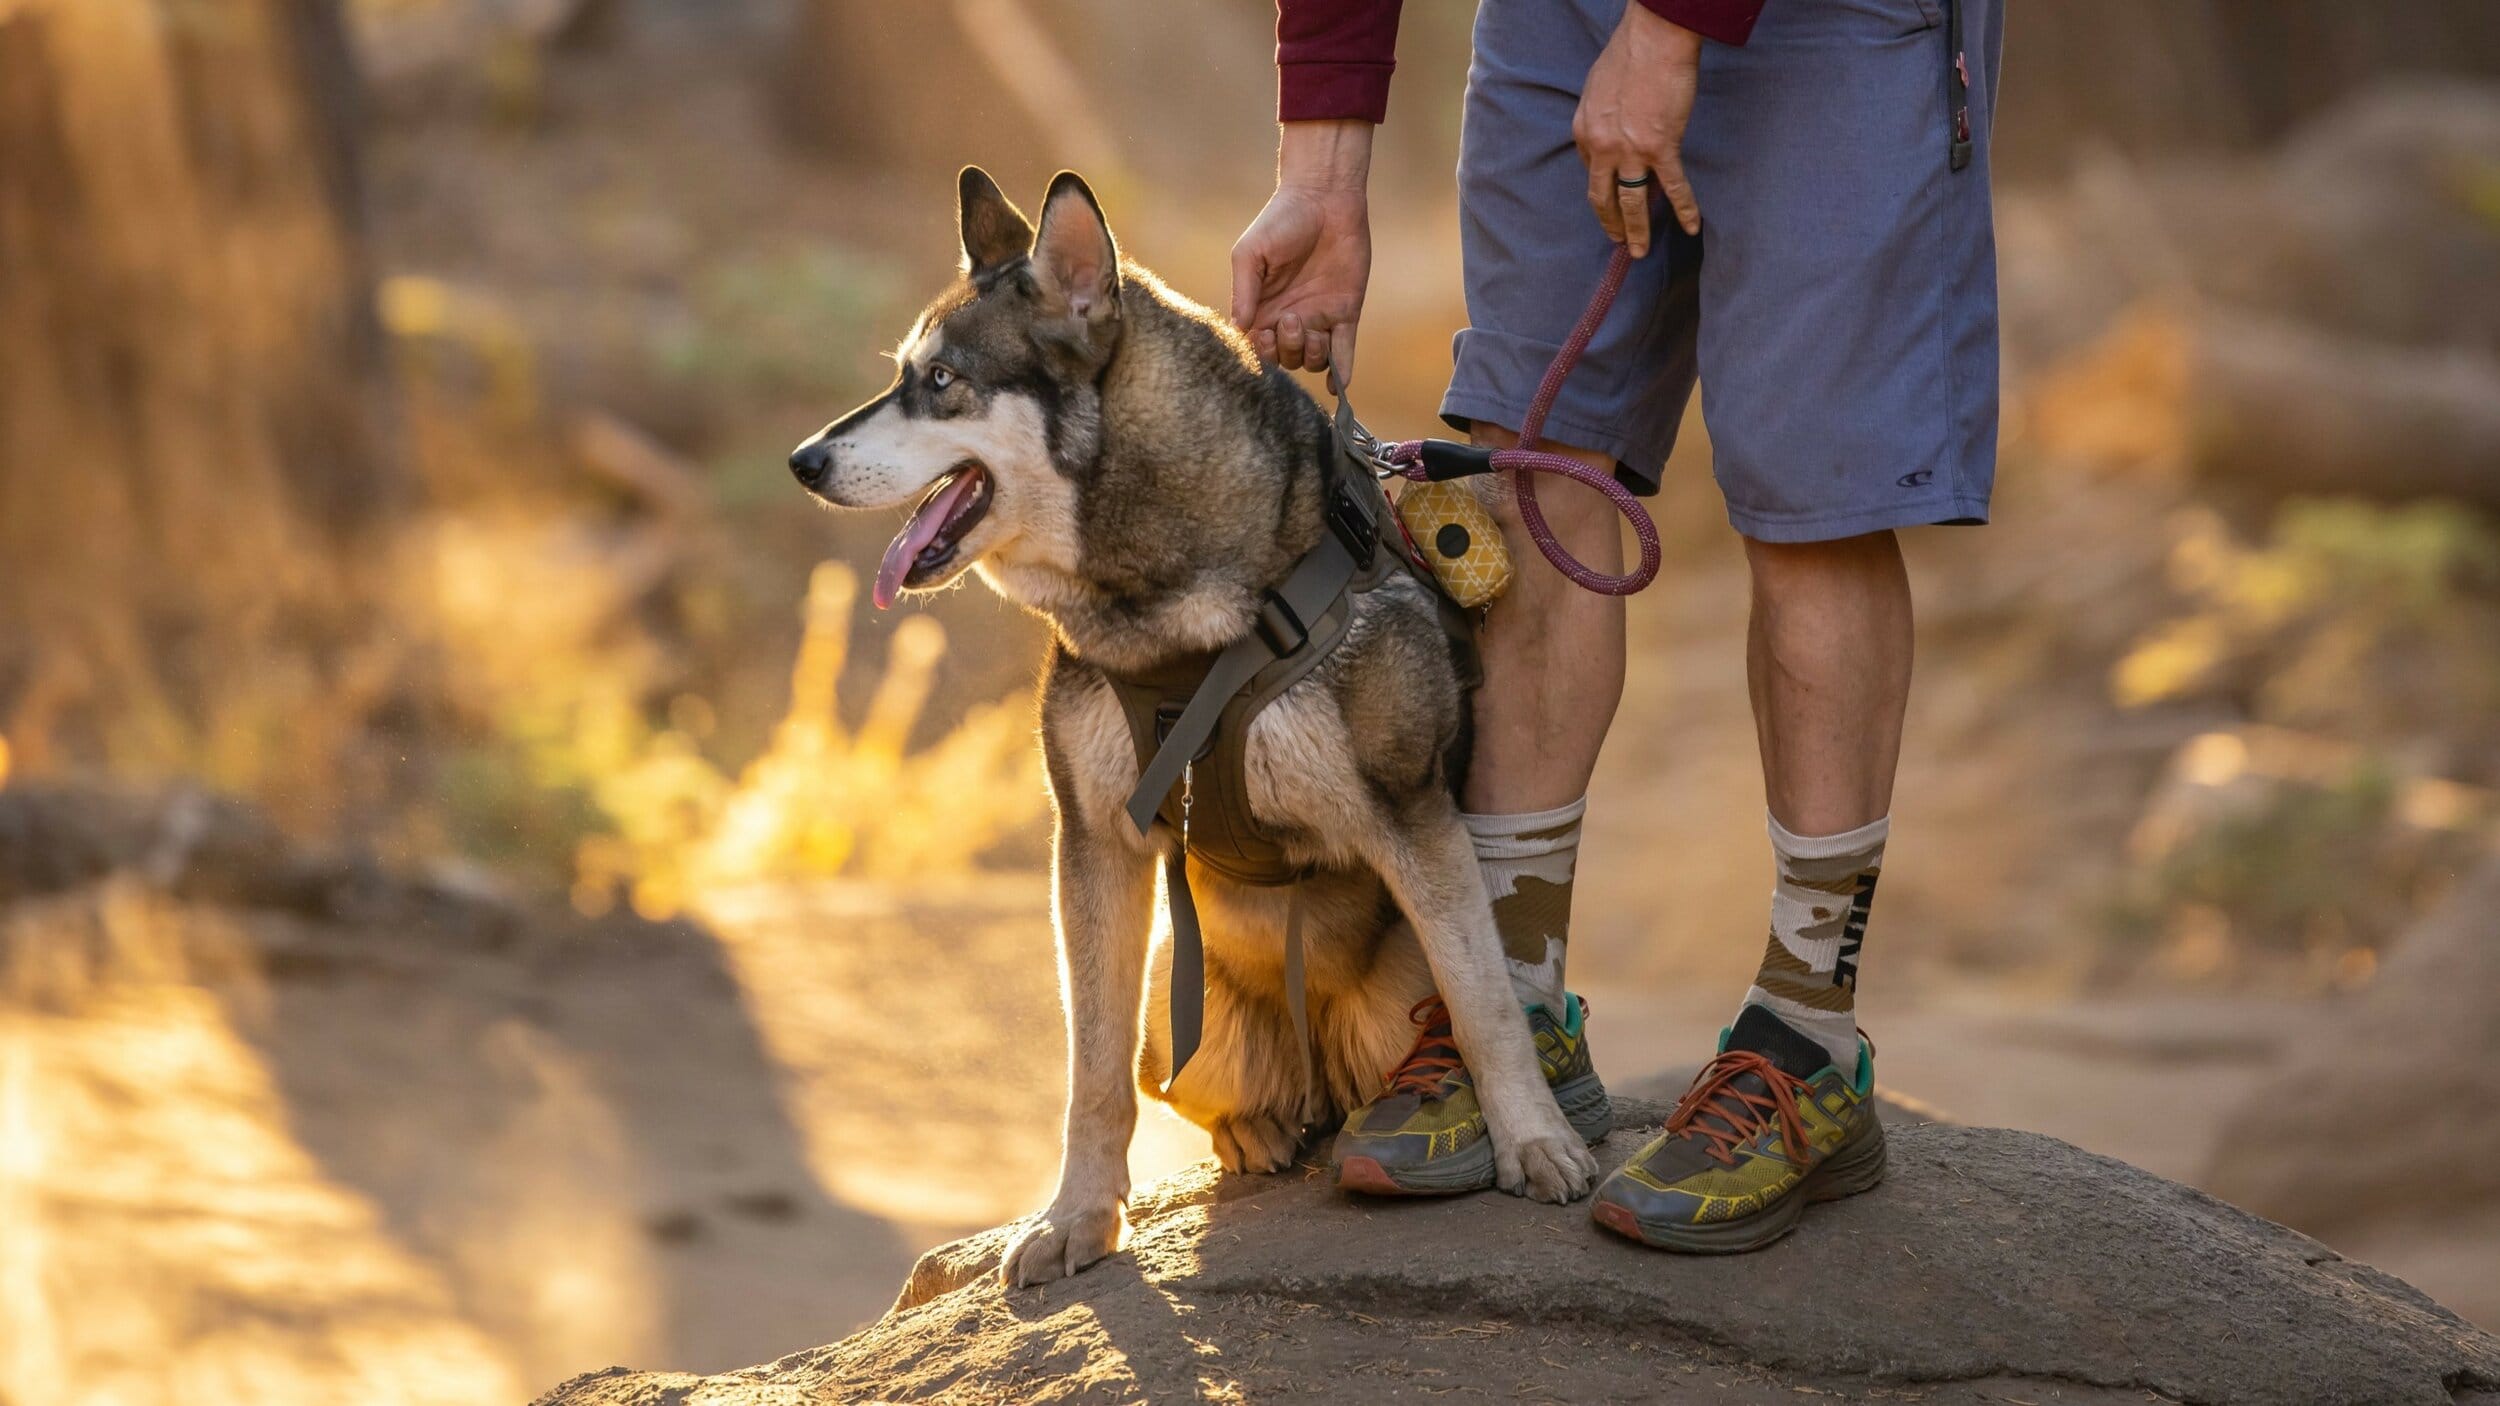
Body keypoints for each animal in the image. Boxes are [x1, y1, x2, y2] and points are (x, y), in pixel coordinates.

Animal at [785, 163, 1600, 1280]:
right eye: (906, 373)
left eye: (941, 381)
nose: (801, 461)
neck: (1176, 623)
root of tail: (1320, 1077)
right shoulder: (1093, 846)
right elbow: (1087, 1071)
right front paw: (1076, 1217)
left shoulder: (1413, 815)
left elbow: (1484, 1008)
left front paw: (1531, 1141)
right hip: (1177, 1006)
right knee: (1192, 1088)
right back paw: (1257, 1131)